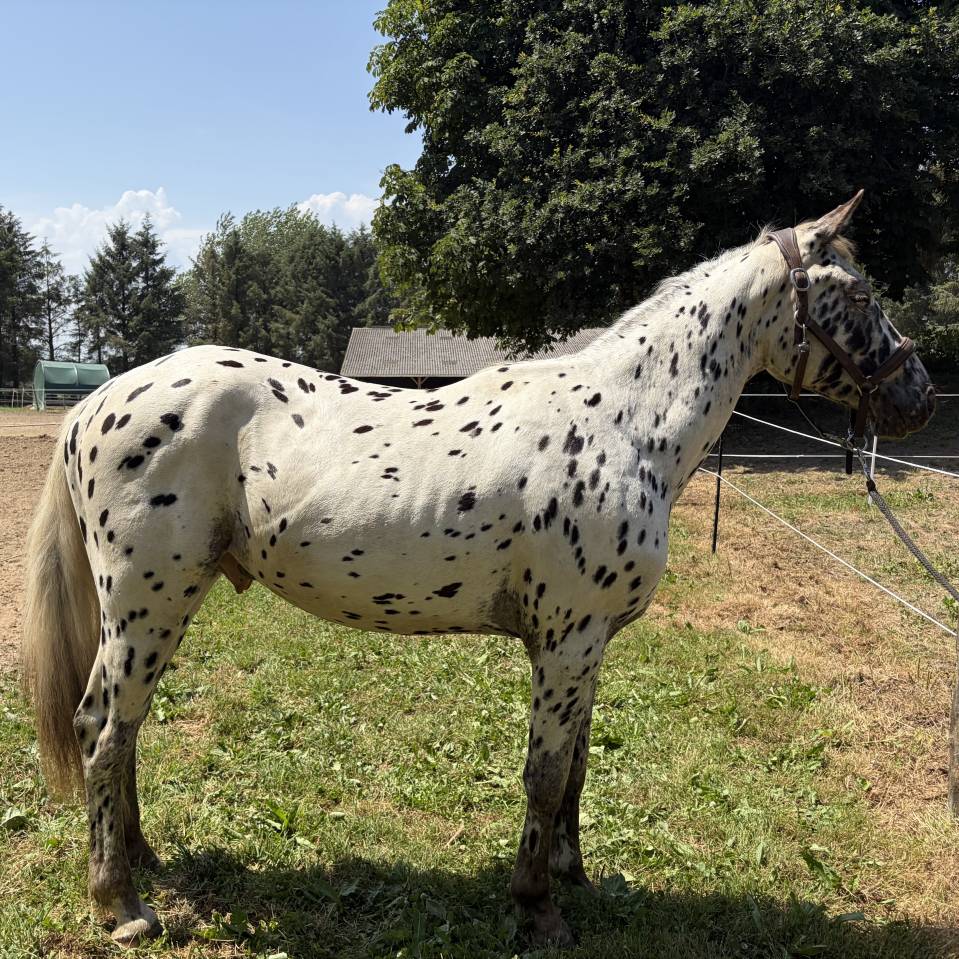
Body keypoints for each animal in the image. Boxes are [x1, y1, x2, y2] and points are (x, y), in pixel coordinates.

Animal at [21, 193, 935, 947]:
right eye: (858, 296)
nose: (917, 396)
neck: (625, 425)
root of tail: (96, 404)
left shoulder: (588, 644)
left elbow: (575, 768)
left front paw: (573, 874)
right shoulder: (566, 640)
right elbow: (543, 774)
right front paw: (537, 908)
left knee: (122, 730)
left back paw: (142, 854)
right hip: (146, 605)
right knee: (104, 727)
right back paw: (120, 901)